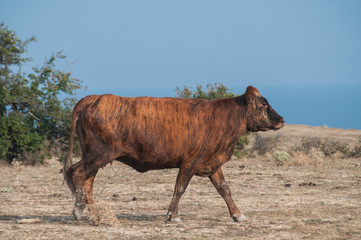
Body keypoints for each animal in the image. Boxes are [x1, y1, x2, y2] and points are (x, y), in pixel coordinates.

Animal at [63, 85, 286, 222]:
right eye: (263, 104)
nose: (282, 120)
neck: (223, 118)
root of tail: (91, 99)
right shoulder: (189, 163)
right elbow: (180, 188)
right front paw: (173, 215)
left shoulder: (213, 164)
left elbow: (225, 189)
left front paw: (238, 215)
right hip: (99, 154)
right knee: (78, 173)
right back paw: (79, 210)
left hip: (95, 156)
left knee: (88, 180)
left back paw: (94, 212)